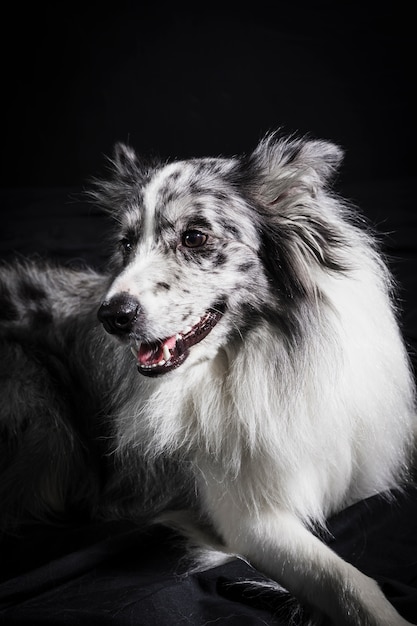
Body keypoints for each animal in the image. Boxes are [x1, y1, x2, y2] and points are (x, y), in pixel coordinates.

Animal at [0, 135, 414, 624]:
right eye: (126, 243)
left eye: (194, 237)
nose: (112, 316)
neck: (255, 359)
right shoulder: (248, 520)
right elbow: (347, 580)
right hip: (45, 424)